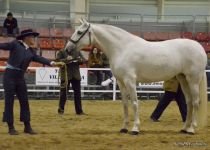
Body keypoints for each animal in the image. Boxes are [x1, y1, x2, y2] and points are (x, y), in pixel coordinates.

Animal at [65, 18, 207, 135]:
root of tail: (200, 48)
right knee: (189, 102)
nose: (67, 49)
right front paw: (124, 128)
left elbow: (134, 103)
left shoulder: (130, 81)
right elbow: (125, 104)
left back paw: (192, 129)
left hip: (193, 80)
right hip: (183, 79)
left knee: (196, 102)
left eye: (79, 32)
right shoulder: (121, 82)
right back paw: (184, 128)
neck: (122, 48)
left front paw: (135, 128)